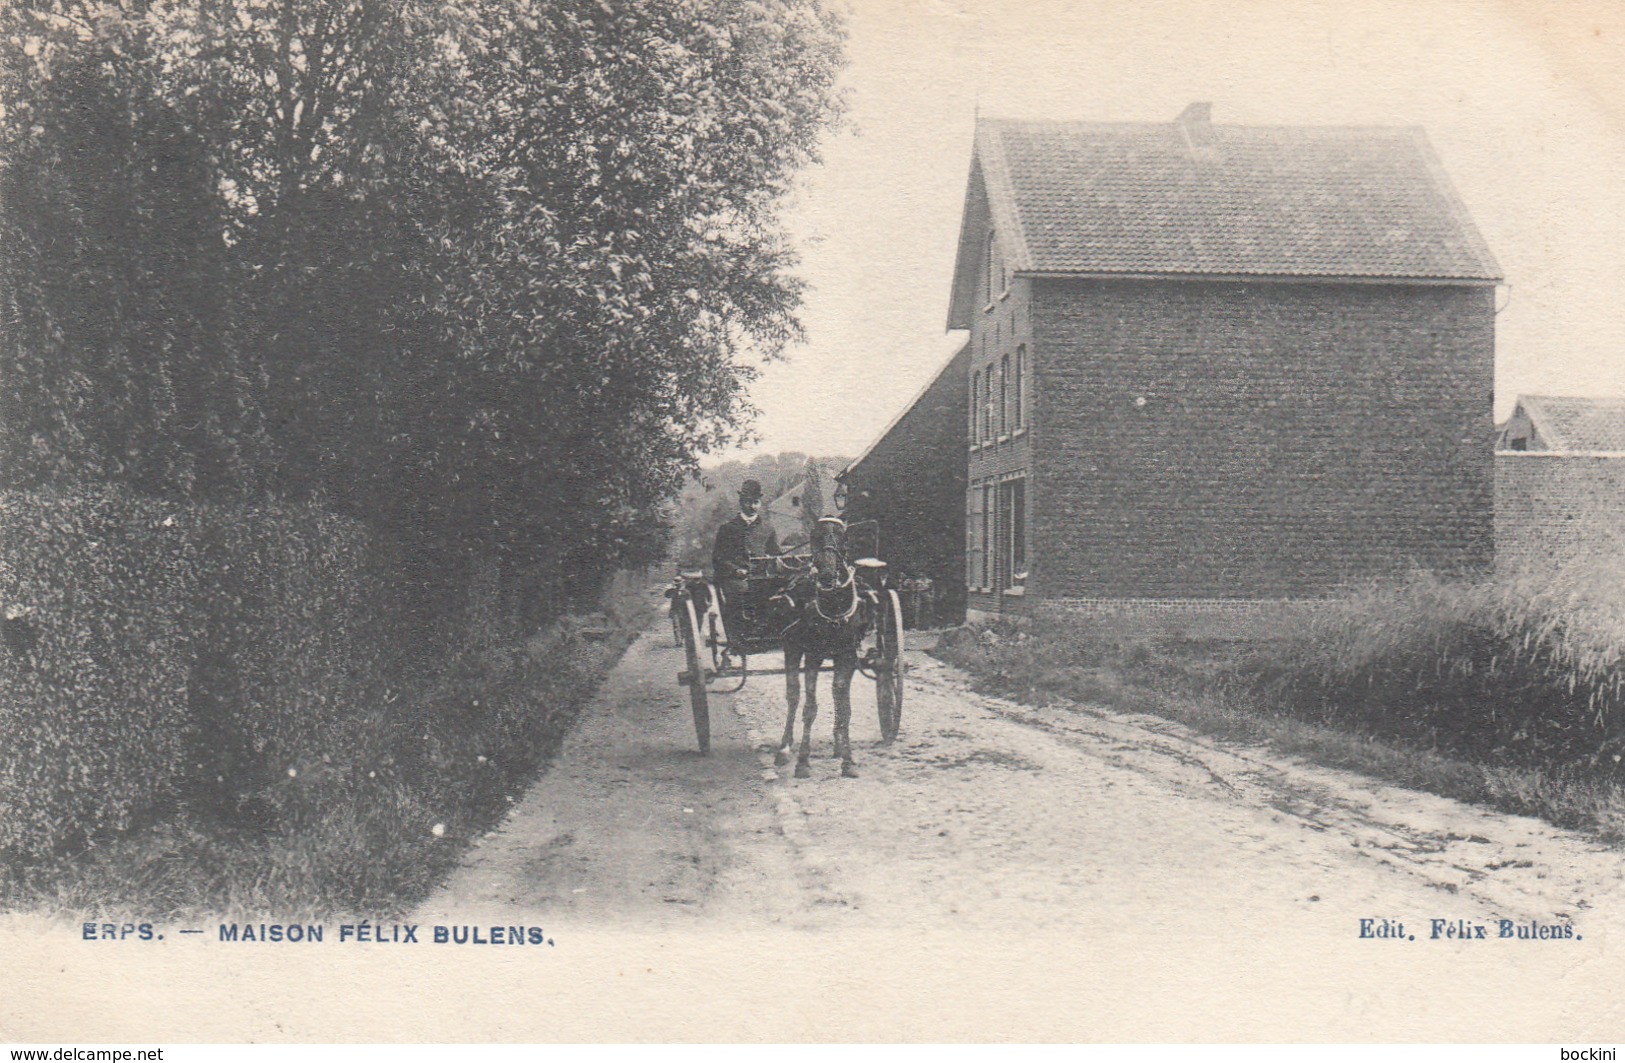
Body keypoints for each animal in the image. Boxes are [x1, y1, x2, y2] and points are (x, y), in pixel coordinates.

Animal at [770, 520, 871, 780]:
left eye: (842, 537)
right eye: (814, 537)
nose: (826, 575)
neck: (834, 607)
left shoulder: (847, 656)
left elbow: (844, 707)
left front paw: (848, 760)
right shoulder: (812, 655)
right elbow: (809, 707)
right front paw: (803, 762)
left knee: (836, 695)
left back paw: (837, 745)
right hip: (792, 648)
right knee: (793, 695)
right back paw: (784, 748)